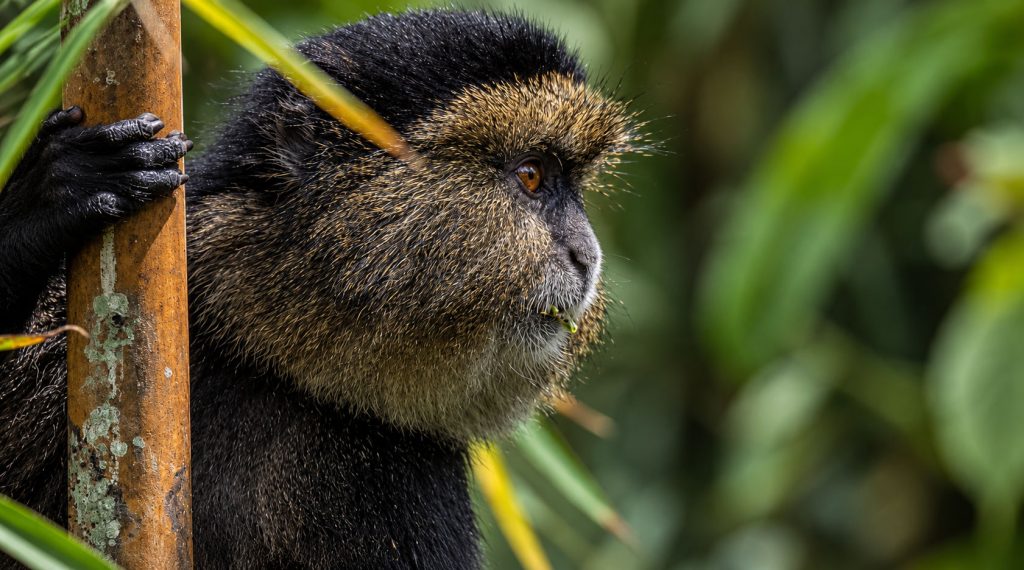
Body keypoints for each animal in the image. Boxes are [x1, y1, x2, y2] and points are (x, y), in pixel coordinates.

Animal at [0, 9, 638, 569]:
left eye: (569, 186)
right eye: (531, 176)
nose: (588, 256)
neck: (270, 349)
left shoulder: (415, 486)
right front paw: (47, 197)